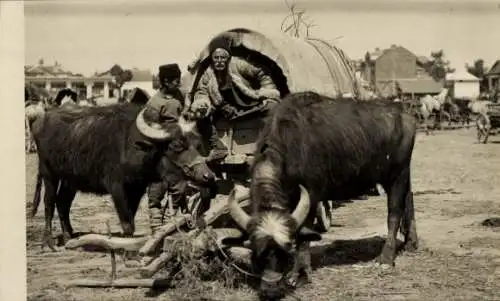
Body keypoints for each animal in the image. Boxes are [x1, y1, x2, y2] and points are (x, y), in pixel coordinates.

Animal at [29, 102, 213, 250]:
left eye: (197, 146)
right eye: (176, 146)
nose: (208, 176)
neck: (131, 146)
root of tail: (41, 118)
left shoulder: (137, 189)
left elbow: (131, 219)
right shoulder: (117, 187)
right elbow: (127, 224)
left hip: (70, 179)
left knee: (62, 203)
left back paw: (69, 236)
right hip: (48, 172)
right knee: (49, 203)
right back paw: (48, 242)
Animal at [229, 91, 420, 298]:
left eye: (285, 250)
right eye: (257, 253)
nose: (270, 288)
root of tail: (404, 114)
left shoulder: (311, 195)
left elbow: (304, 234)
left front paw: (300, 274)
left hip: (397, 174)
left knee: (395, 212)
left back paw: (385, 258)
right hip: (400, 174)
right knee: (409, 201)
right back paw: (411, 243)